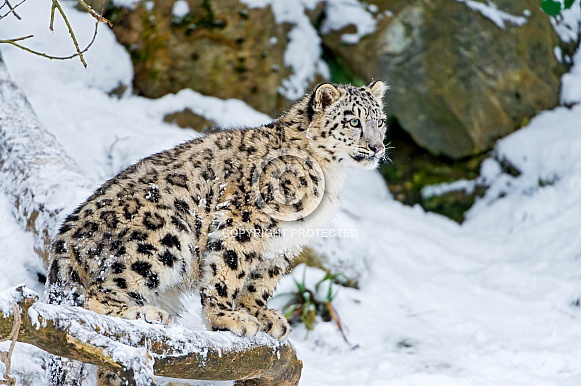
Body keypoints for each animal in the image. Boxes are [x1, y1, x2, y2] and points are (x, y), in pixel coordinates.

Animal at [46, 80, 386, 382]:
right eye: (354, 121)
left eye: (380, 122)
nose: (377, 146)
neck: (329, 177)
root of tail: (63, 243)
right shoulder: (243, 221)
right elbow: (229, 270)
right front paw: (226, 317)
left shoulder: (282, 245)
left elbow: (260, 282)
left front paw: (263, 315)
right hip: (164, 235)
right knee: (98, 292)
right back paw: (144, 314)